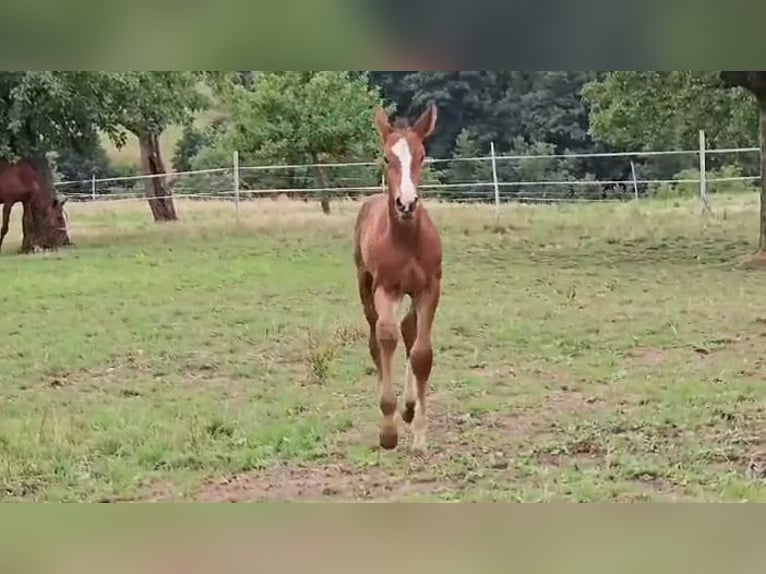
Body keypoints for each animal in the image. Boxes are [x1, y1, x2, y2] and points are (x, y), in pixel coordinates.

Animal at [356, 102, 444, 454]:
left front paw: (419, 434)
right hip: (365, 284)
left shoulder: (429, 288)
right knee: (376, 337)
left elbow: (421, 353)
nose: (406, 204)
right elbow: (386, 336)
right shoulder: (387, 288)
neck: (406, 239)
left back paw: (408, 407)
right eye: (385, 157)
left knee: (407, 329)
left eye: (421, 155)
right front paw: (388, 429)